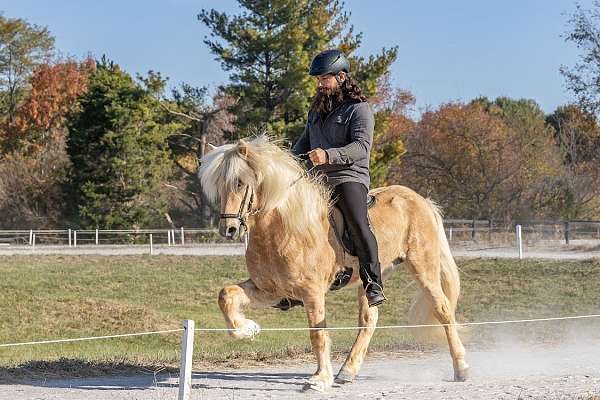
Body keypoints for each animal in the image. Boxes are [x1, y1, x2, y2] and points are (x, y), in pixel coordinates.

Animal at [199, 134, 472, 390]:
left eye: (239, 183)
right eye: (219, 186)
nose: (229, 229)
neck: (284, 229)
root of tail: (421, 200)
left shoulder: (312, 293)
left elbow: (318, 333)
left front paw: (319, 379)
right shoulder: (271, 290)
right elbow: (226, 295)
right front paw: (249, 328)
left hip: (423, 268)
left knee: (443, 310)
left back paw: (461, 368)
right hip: (369, 280)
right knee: (369, 321)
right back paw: (347, 371)